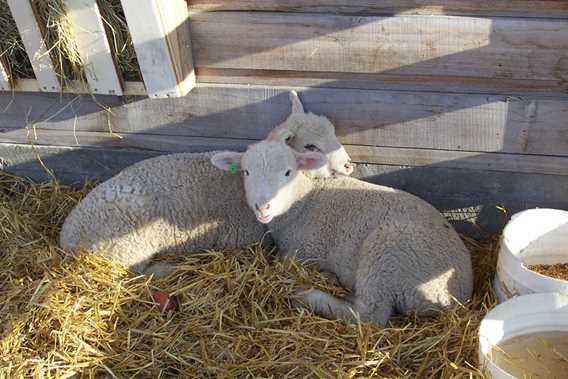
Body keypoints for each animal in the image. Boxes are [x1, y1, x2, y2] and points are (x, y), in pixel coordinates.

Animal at [61, 92, 356, 276]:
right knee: (135, 272)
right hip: (126, 247)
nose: (348, 165)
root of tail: (67, 237)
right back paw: (167, 270)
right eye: (310, 145)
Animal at [211, 141, 472, 326]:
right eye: (246, 172)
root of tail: (455, 297)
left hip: (388, 254)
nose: (263, 207)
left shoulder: (302, 253)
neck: (304, 200)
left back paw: (311, 296)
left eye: (287, 172)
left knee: (370, 315)